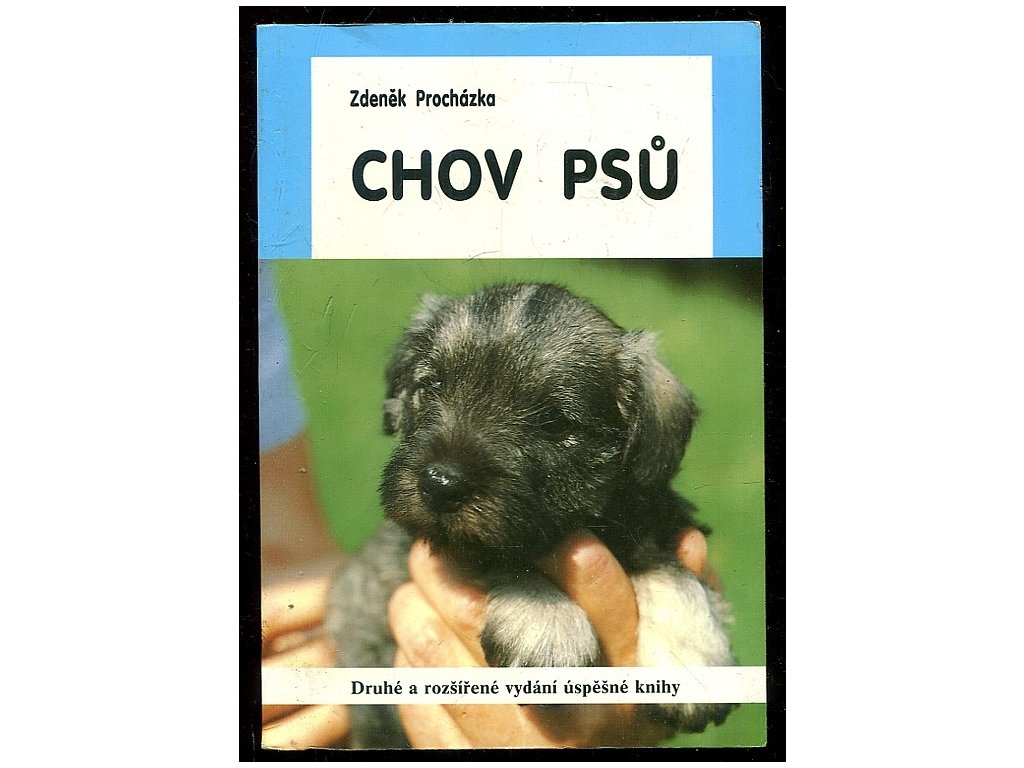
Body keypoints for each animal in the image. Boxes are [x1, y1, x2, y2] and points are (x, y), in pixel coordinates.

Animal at [327, 283, 735, 748]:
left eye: (553, 422)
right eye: (430, 386)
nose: (440, 484)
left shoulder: (655, 522)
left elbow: (679, 578)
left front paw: (693, 659)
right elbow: (506, 558)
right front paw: (548, 623)